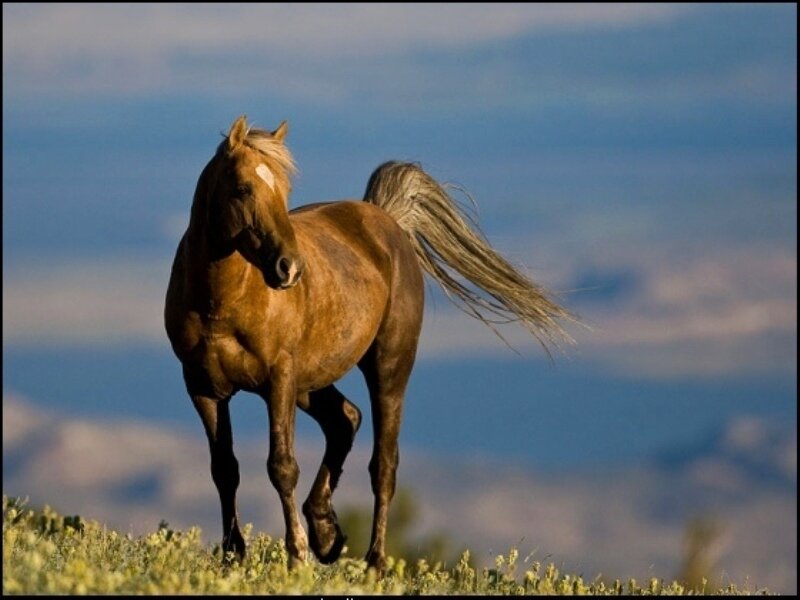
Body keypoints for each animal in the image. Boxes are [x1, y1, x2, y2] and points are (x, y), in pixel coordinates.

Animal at [164, 115, 575, 573]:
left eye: (285, 190)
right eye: (243, 188)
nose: (289, 268)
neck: (222, 303)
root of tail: (386, 220)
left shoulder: (279, 379)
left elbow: (282, 466)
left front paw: (297, 555)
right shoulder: (203, 388)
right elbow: (225, 469)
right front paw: (233, 555)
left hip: (386, 369)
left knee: (384, 464)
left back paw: (374, 562)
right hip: (311, 381)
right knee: (345, 419)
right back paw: (327, 532)